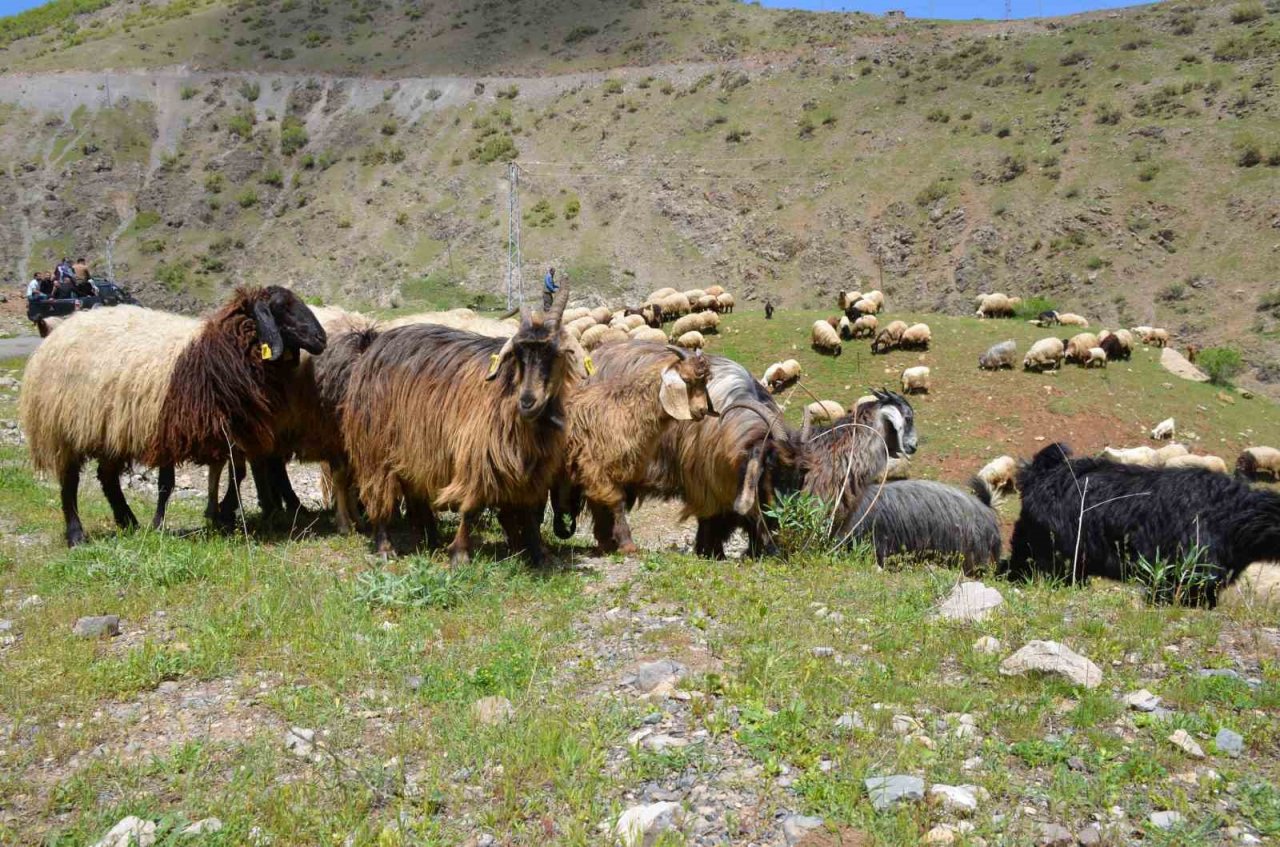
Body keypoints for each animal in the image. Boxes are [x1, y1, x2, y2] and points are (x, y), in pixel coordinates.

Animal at [20, 289, 327, 547]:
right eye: (282, 306)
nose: (321, 338)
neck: (219, 350)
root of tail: (58, 331)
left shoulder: (232, 428)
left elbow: (237, 475)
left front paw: (224, 515)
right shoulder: (169, 429)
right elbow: (166, 483)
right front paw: (159, 524)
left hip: (111, 430)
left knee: (107, 477)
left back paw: (128, 522)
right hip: (64, 427)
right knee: (69, 482)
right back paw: (76, 535)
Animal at [343, 285, 578, 562]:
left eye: (554, 353)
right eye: (518, 354)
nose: (528, 401)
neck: (506, 389)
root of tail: (370, 348)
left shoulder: (532, 468)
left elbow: (529, 511)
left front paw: (540, 554)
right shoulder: (478, 454)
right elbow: (471, 505)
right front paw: (461, 554)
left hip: (412, 446)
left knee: (413, 491)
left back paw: (429, 538)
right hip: (374, 443)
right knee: (378, 490)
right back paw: (385, 547)